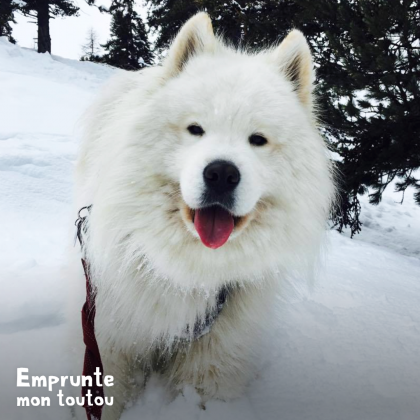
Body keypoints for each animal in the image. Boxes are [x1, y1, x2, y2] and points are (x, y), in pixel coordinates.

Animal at [69, 11, 334, 418]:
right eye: (195, 129)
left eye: (258, 140)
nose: (222, 173)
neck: (190, 272)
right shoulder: (113, 340)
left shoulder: (214, 356)